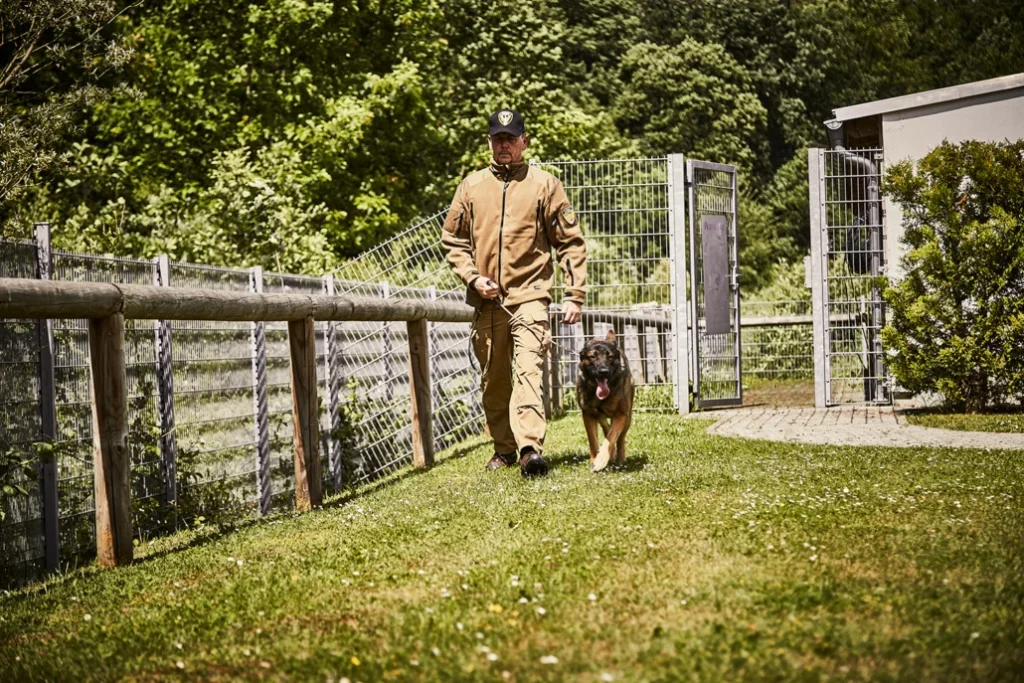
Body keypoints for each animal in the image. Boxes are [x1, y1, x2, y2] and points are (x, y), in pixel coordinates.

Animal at [577, 329, 630, 471]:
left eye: (610, 357)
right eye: (592, 357)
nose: (603, 371)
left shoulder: (620, 416)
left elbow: (611, 438)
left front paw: (601, 460)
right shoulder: (588, 414)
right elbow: (593, 439)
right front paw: (595, 458)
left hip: (628, 418)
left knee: (620, 438)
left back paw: (619, 458)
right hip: (599, 416)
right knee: (606, 428)